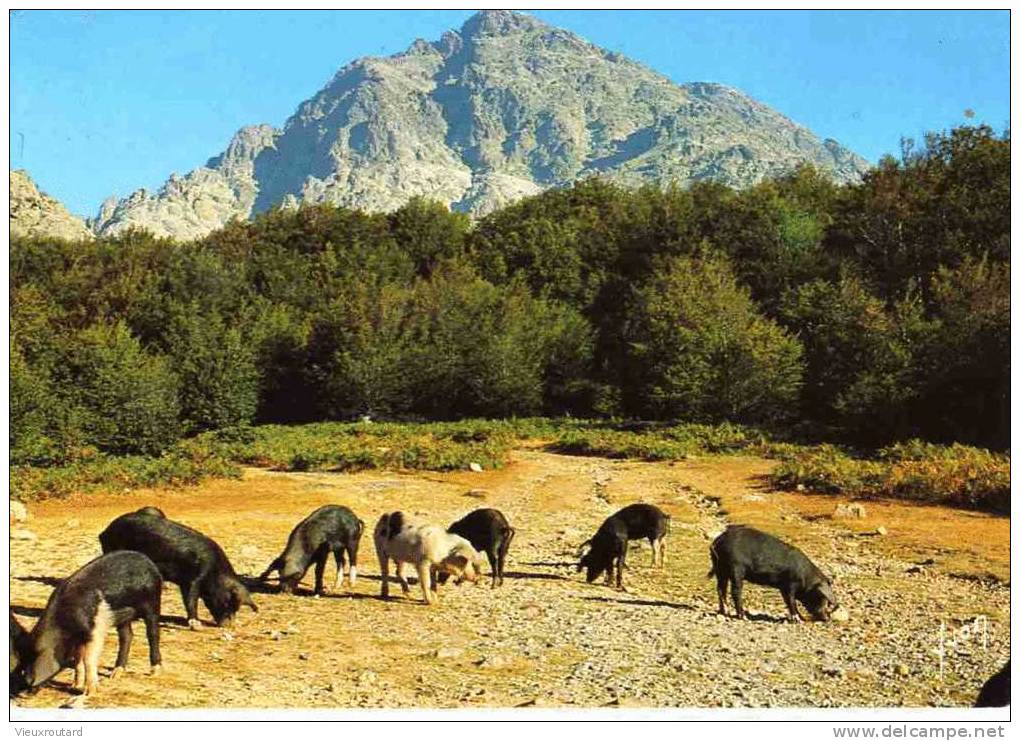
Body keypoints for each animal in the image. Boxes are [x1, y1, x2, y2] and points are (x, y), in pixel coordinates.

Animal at [12, 551, 163, 698]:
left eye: (30, 659)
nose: (22, 693)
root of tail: (148, 561)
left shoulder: (94, 630)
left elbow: (88, 659)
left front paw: (90, 692)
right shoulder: (79, 637)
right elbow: (78, 659)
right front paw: (75, 686)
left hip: (153, 601)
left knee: (153, 633)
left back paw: (155, 671)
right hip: (122, 617)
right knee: (127, 636)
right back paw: (115, 675)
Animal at [99, 510, 257, 628]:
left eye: (237, 607)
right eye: (228, 602)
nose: (229, 626)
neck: (215, 572)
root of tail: (105, 531)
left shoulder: (184, 581)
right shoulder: (194, 577)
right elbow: (191, 598)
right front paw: (195, 624)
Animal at [709, 526, 844, 624]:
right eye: (823, 598)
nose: (827, 619)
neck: (807, 579)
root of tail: (717, 541)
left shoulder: (782, 587)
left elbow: (787, 601)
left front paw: (800, 618)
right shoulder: (790, 584)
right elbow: (791, 601)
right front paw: (799, 620)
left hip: (720, 569)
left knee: (720, 589)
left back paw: (725, 612)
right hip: (736, 568)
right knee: (735, 591)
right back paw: (743, 616)